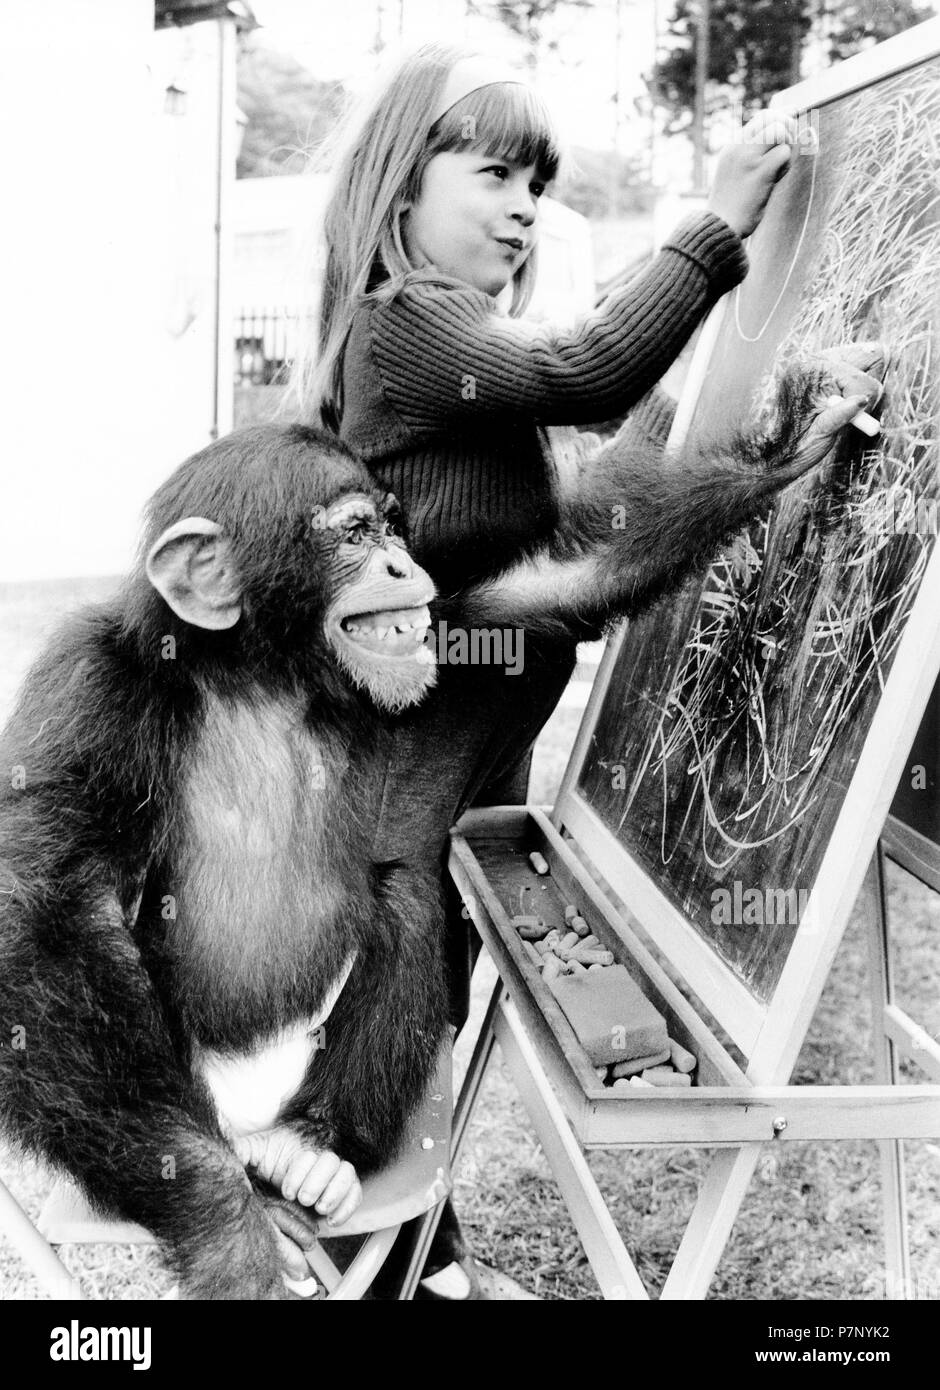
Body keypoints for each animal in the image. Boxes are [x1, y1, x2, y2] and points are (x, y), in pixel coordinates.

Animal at [0, 356, 880, 1299]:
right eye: (351, 534)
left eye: (392, 527)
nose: (397, 562)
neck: (258, 673)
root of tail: (255, 1111)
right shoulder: (87, 694)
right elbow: (43, 924)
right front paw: (227, 1229)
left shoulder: (447, 637)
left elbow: (556, 580)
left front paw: (801, 432)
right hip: (178, 1089)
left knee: (406, 895)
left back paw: (312, 1148)